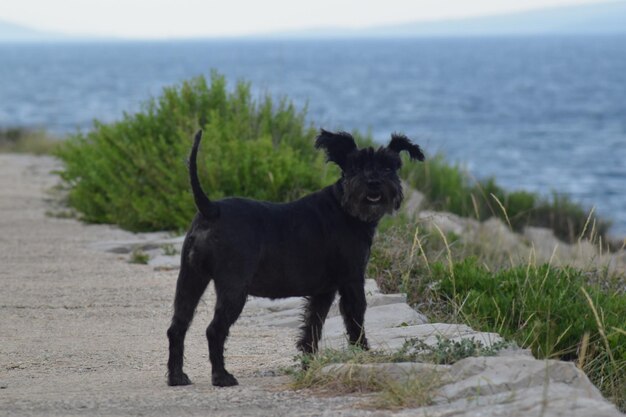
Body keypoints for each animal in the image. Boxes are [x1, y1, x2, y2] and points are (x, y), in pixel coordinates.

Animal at [166, 128, 422, 386]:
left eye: (388, 167)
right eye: (356, 167)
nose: (373, 183)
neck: (344, 207)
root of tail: (211, 209)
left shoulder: (324, 291)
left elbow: (312, 327)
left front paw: (308, 364)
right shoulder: (352, 280)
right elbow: (355, 320)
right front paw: (364, 356)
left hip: (190, 279)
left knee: (177, 327)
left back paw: (177, 377)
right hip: (233, 288)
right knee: (214, 330)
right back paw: (222, 376)